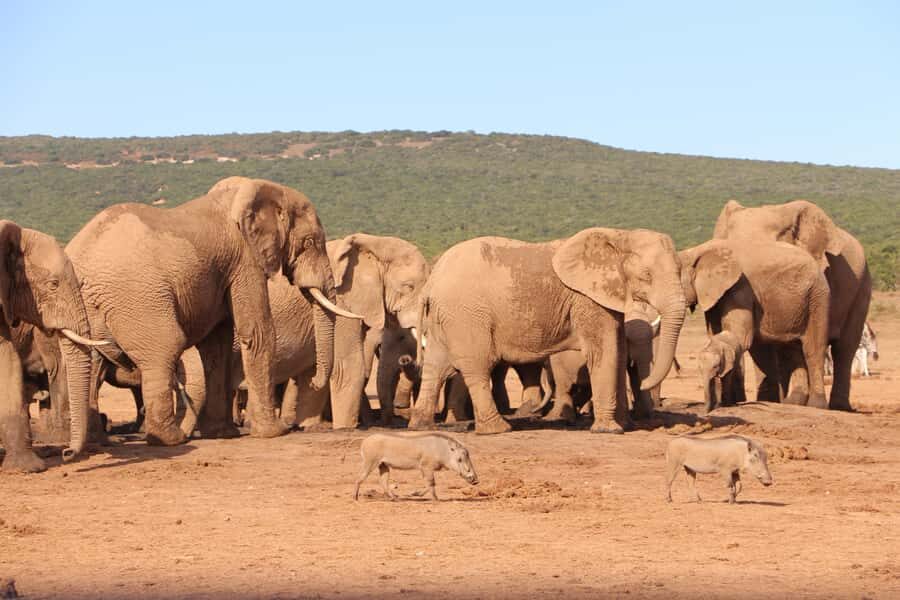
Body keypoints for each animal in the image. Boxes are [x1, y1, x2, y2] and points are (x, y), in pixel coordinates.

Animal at [64, 177, 343, 447]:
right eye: (310, 242)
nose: (314, 380)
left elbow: (217, 344)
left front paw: (223, 434)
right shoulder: (245, 259)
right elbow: (256, 332)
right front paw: (274, 432)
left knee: (93, 364)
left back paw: (97, 443)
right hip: (138, 296)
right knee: (165, 347)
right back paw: (170, 439)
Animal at [410, 228, 686, 435]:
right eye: (647, 275)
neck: (619, 235)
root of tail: (431, 283)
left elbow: (616, 350)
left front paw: (624, 426)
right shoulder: (585, 298)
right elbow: (603, 351)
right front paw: (609, 430)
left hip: (445, 317)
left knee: (436, 366)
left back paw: (421, 426)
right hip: (467, 314)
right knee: (477, 365)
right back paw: (498, 429)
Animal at [679, 239, 830, 411]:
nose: (707, 410)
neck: (696, 251)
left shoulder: (739, 288)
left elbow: (741, 337)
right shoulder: (714, 296)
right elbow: (717, 334)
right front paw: (724, 404)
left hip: (817, 297)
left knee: (813, 349)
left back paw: (817, 406)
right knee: (792, 349)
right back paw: (794, 403)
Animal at [713, 200, 871, 410]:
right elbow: (762, 345)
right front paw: (770, 401)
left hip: (861, 286)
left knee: (844, 347)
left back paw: (837, 406)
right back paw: (793, 401)